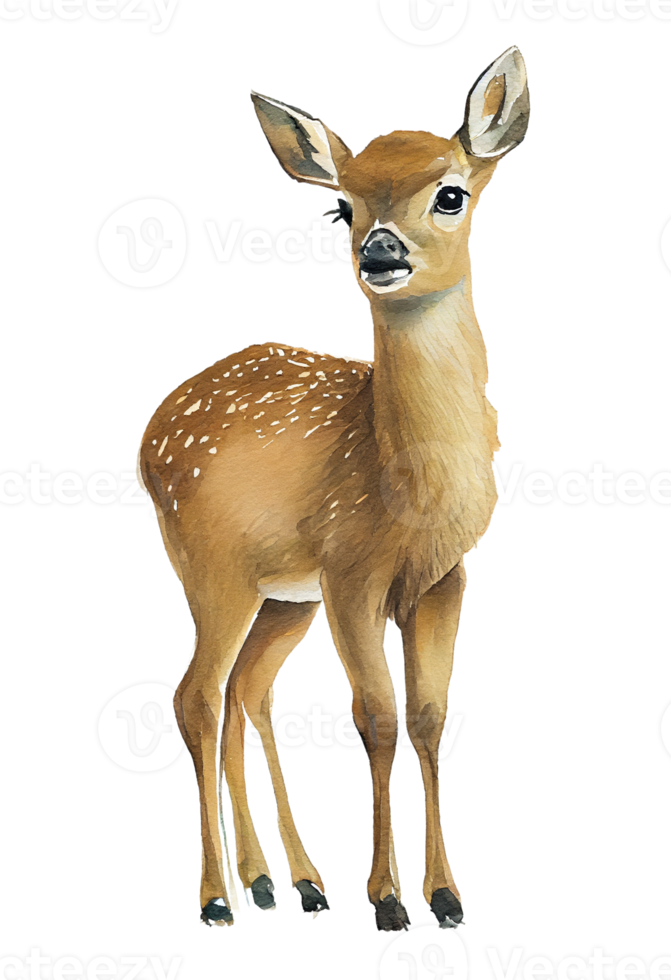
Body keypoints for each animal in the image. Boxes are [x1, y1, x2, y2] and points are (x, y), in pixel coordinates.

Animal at [136, 42, 530, 934]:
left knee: (247, 688)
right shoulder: (352, 571)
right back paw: (219, 897)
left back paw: (285, 883)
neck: (406, 486)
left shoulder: (444, 576)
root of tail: (155, 425)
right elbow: (376, 716)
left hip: (283, 595)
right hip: (208, 566)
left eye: (450, 192)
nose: (379, 252)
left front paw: (445, 895)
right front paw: (386, 899)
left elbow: (427, 716)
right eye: (344, 203)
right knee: (196, 694)